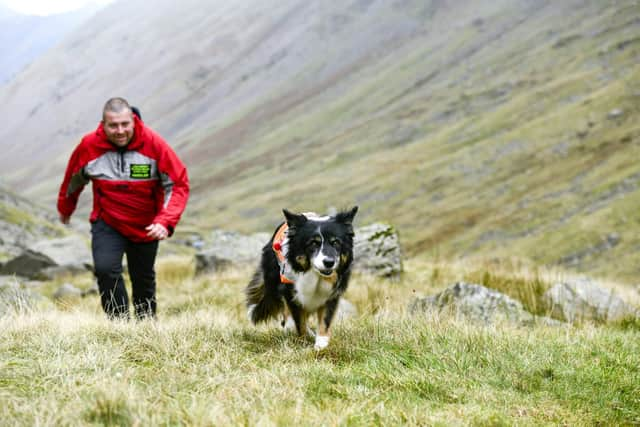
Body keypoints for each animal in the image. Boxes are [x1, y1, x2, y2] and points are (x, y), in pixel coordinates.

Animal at [245, 207, 358, 352]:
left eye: (336, 242)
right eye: (313, 243)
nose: (329, 262)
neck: (316, 276)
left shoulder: (332, 293)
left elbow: (325, 319)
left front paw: (321, 345)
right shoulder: (290, 292)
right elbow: (299, 322)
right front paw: (303, 341)